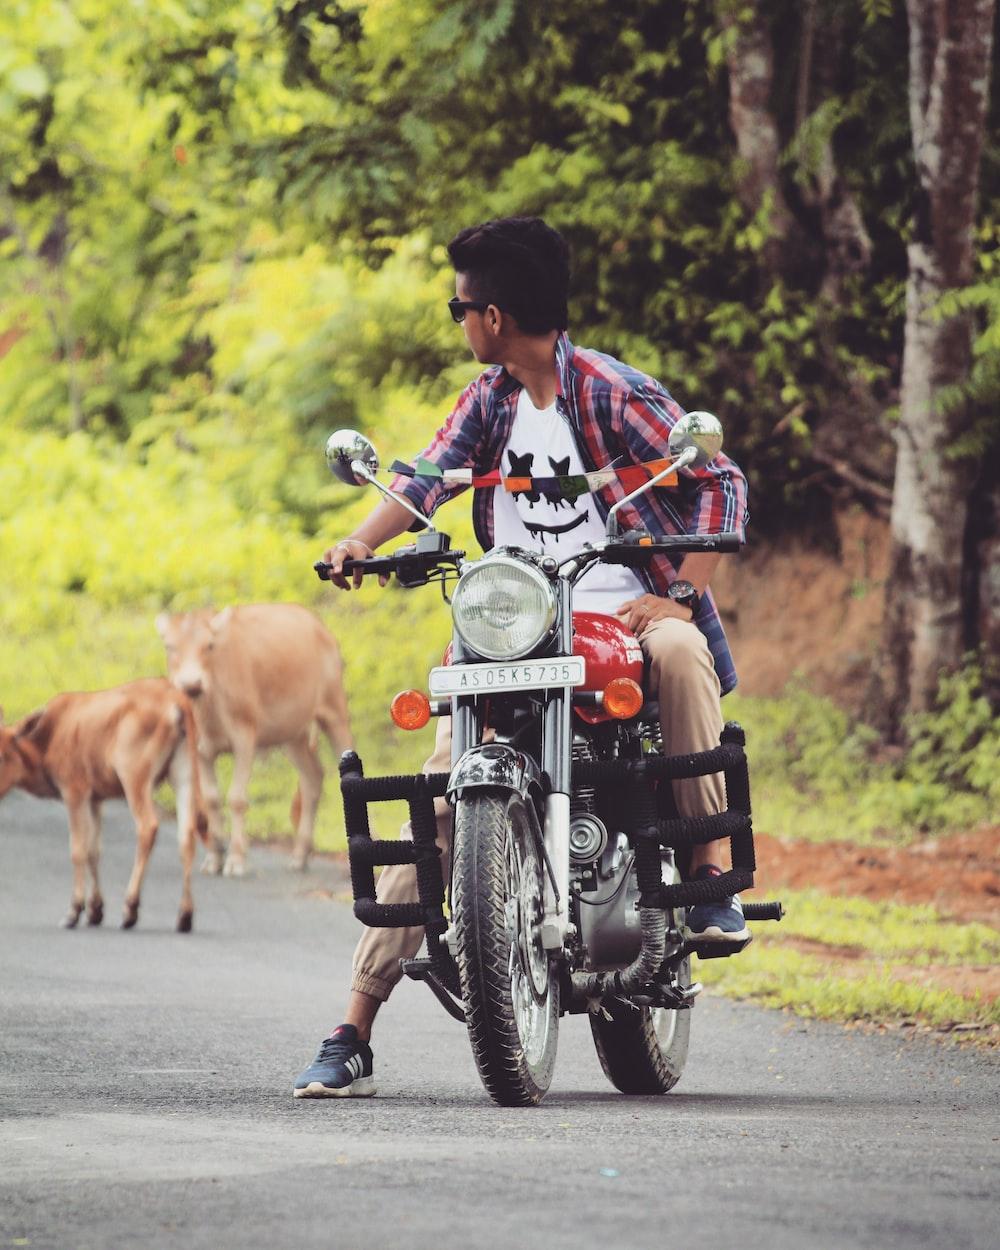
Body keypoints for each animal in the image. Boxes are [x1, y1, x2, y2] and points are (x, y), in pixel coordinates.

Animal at [0, 680, 208, 935]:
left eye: (2, 756)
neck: (44, 747)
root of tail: (179, 704)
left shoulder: (75, 790)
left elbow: (78, 850)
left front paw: (74, 911)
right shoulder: (95, 797)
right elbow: (94, 851)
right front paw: (96, 910)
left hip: (134, 773)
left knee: (148, 826)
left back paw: (130, 908)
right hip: (183, 771)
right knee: (186, 835)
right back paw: (185, 915)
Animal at [156, 600, 355, 875]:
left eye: (209, 645)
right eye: (169, 646)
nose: (191, 684)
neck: (208, 710)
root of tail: (318, 626)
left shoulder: (245, 737)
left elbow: (237, 798)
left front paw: (237, 858)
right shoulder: (201, 749)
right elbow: (211, 799)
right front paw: (214, 857)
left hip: (334, 711)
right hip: (292, 733)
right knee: (312, 777)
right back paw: (300, 854)